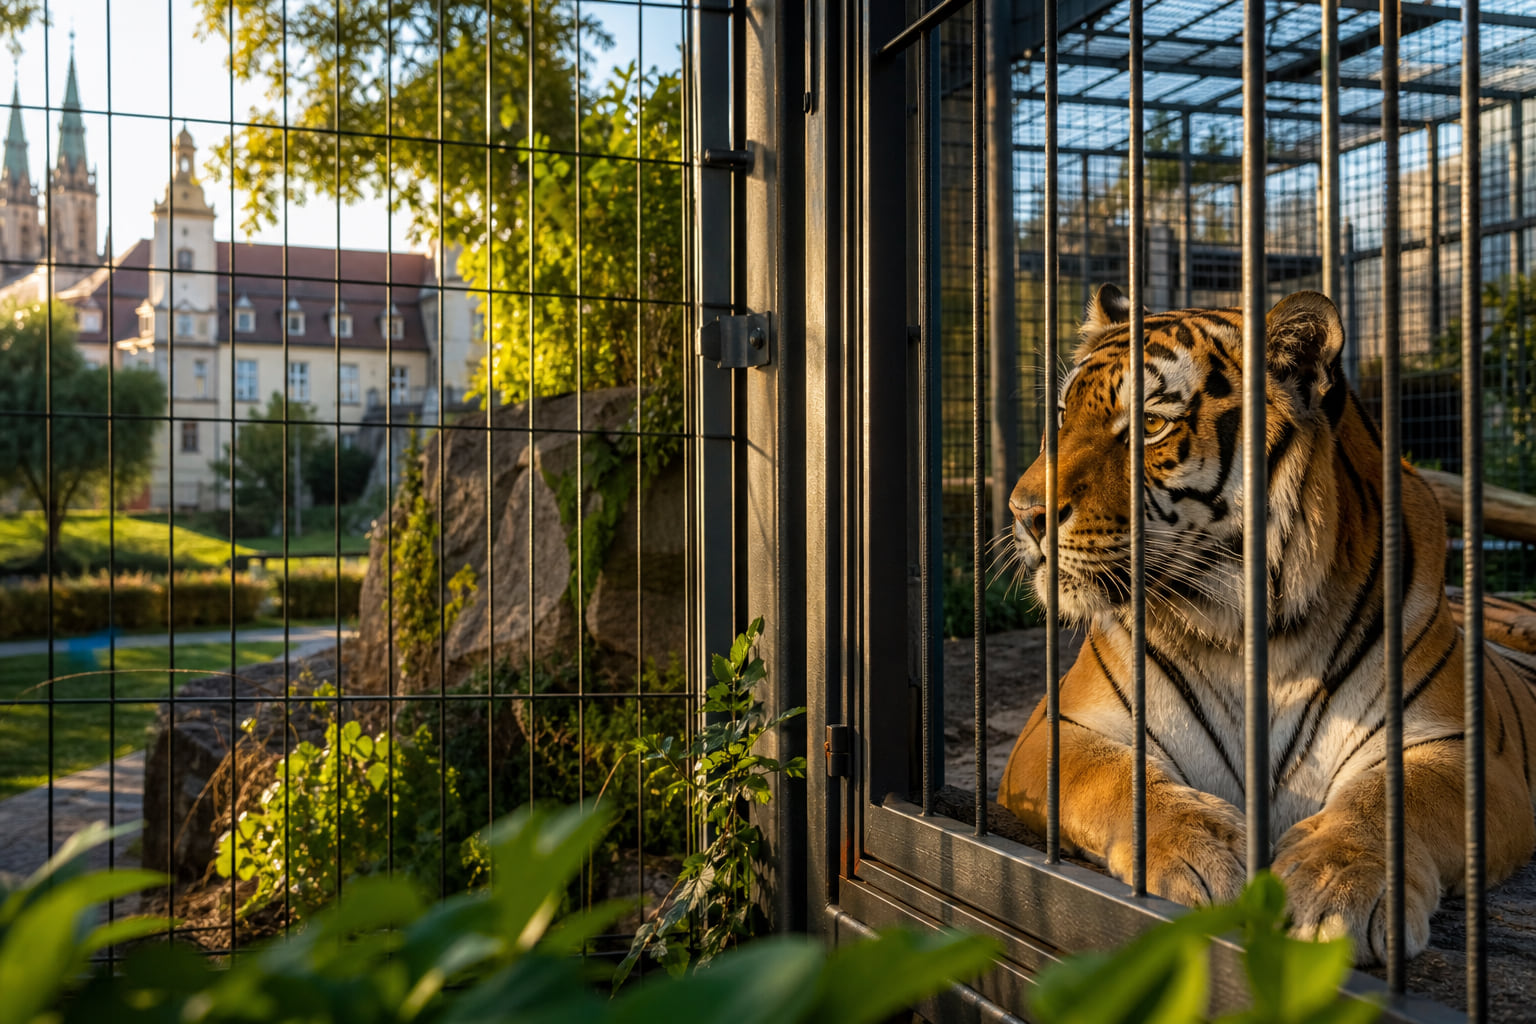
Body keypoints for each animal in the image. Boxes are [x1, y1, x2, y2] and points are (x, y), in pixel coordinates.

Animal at [996, 285, 1536, 964]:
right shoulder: (1057, 727)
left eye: (1150, 425)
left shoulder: (1459, 745)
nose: (1022, 512)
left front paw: (1335, 888)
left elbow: (1394, 803)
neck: (1248, 631)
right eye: (1064, 415)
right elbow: (1116, 779)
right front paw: (1208, 856)